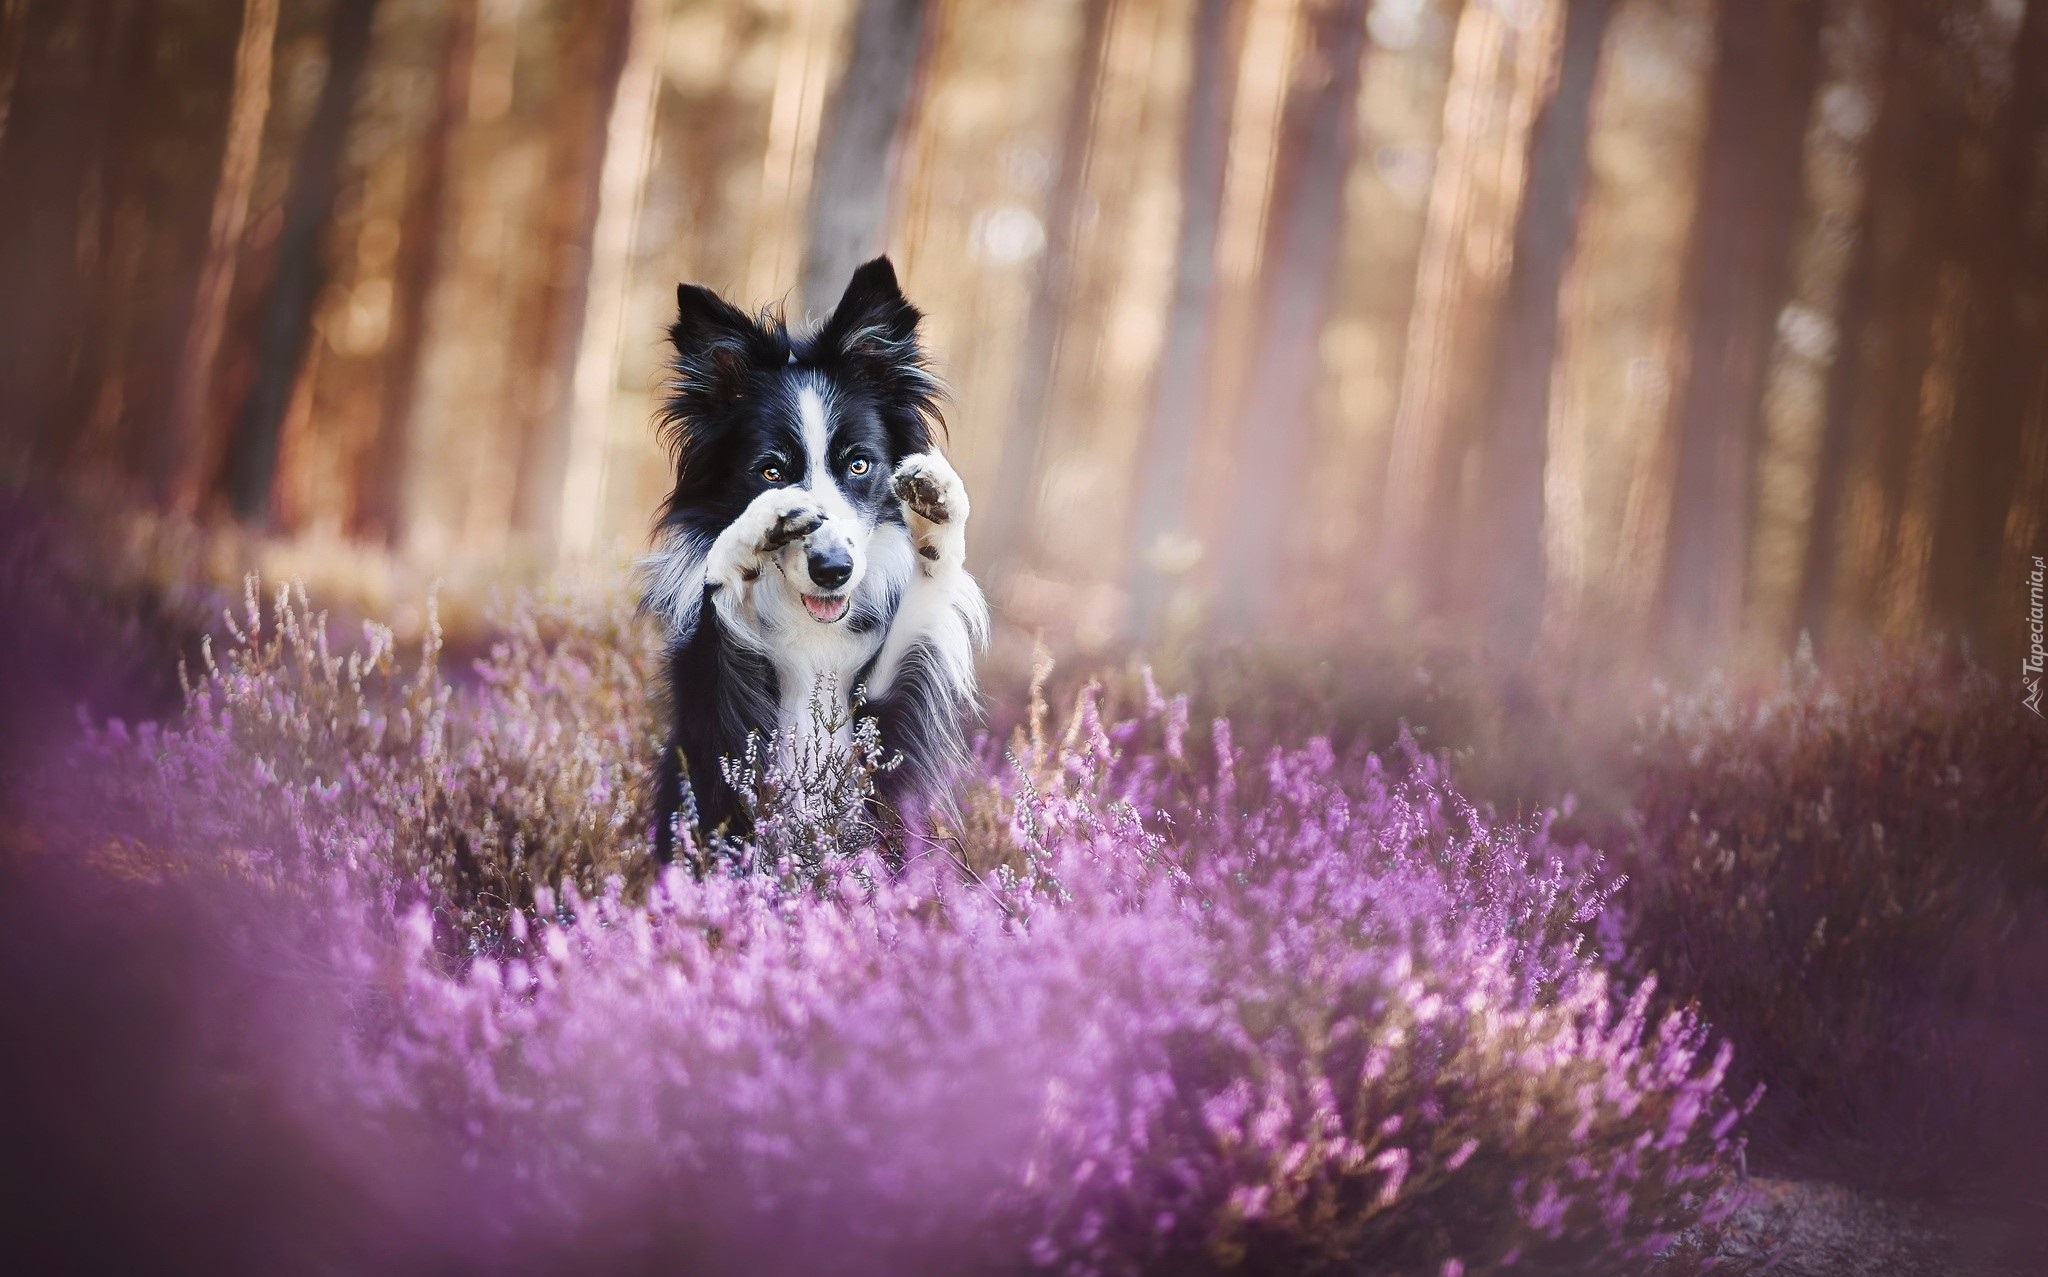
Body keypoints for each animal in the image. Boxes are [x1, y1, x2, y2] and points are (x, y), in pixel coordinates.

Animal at [643, 256, 987, 859]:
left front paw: (937, 509)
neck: (814, 629)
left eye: (859, 465)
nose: (833, 571)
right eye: (770, 471)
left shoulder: (884, 716)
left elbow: (921, 603)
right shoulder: (716, 734)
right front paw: (757, 528)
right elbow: (722, 613)